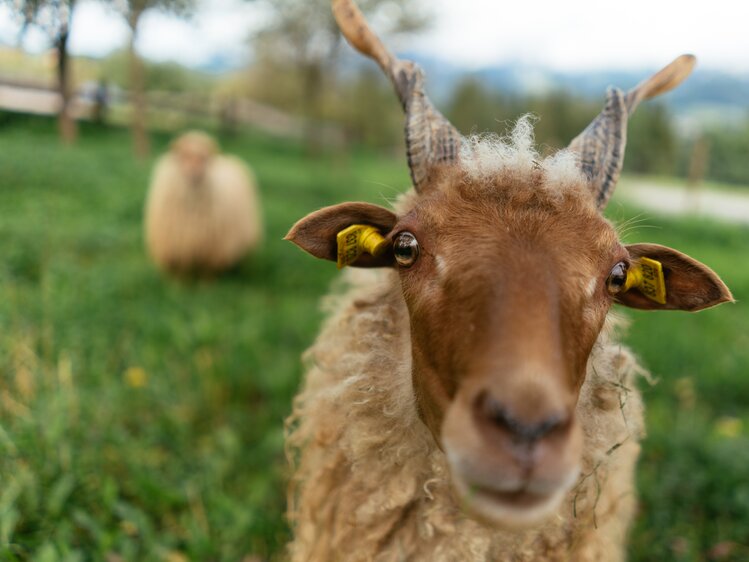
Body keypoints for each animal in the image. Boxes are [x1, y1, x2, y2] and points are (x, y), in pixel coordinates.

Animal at [144, 130, 262, 274]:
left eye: (204, 157)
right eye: (184, 155)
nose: (196, 173)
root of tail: (231, 159)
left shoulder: (212, 252)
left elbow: (207, 273)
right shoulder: (177, 246)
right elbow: (180, 274)